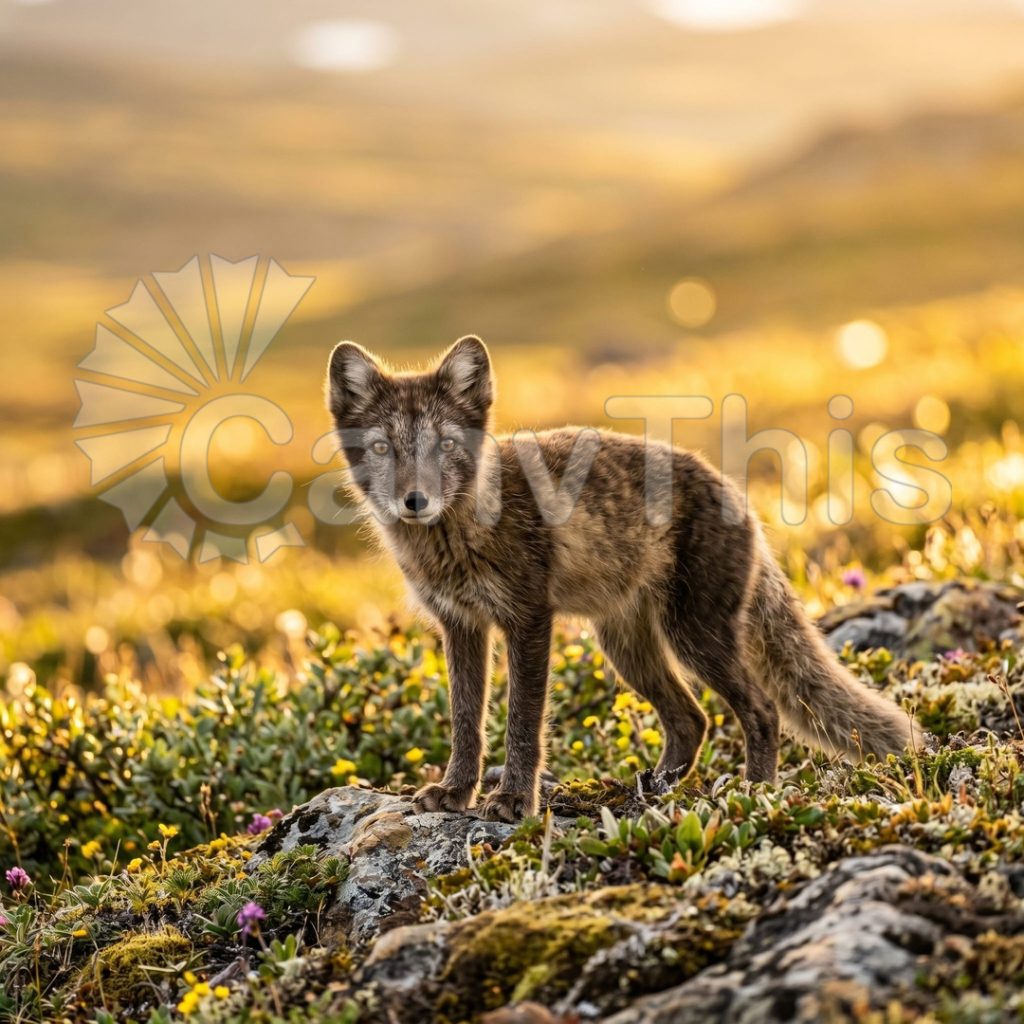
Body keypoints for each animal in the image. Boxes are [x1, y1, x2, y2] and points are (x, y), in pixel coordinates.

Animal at [325, 335, 917, 822]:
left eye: (445, 444)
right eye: (381, 447)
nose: (415, 501)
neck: (459, 535)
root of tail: (737, 493)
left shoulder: (528, 618)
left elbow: (523, 722)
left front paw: (513, 800)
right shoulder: (461, 625)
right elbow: (466, 720)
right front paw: (455, 792)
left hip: (694, 635)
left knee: (761, 710)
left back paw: (754, 792)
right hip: (627, 647)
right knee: (691, 720)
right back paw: (657, 790)